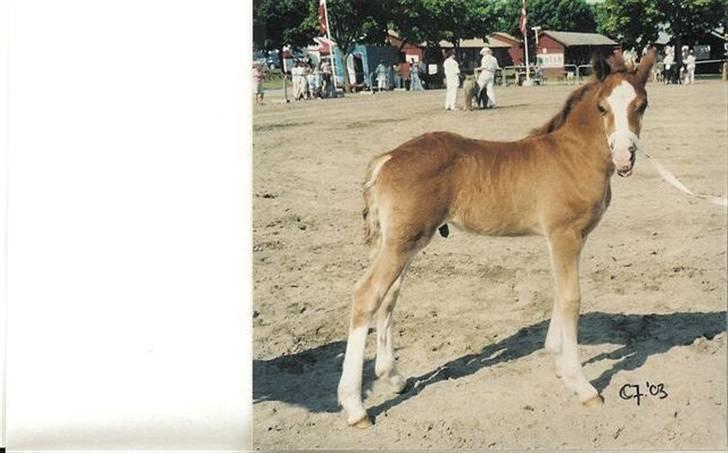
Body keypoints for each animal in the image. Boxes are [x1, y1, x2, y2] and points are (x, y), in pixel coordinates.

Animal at [338, 51, 656, 426]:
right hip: (401, 244)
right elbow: (571, 298)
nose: (624, 155)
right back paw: (355, 407)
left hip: (404, 242)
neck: (571, 156)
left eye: (642, 105)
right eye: (602, 107)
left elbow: (559, 292)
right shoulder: (565, 235)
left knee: (389, 298)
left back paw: (393, 377)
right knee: (366, 295)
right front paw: (580, 384)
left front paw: (556, 357)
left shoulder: (563, 240)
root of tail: (387, 158)